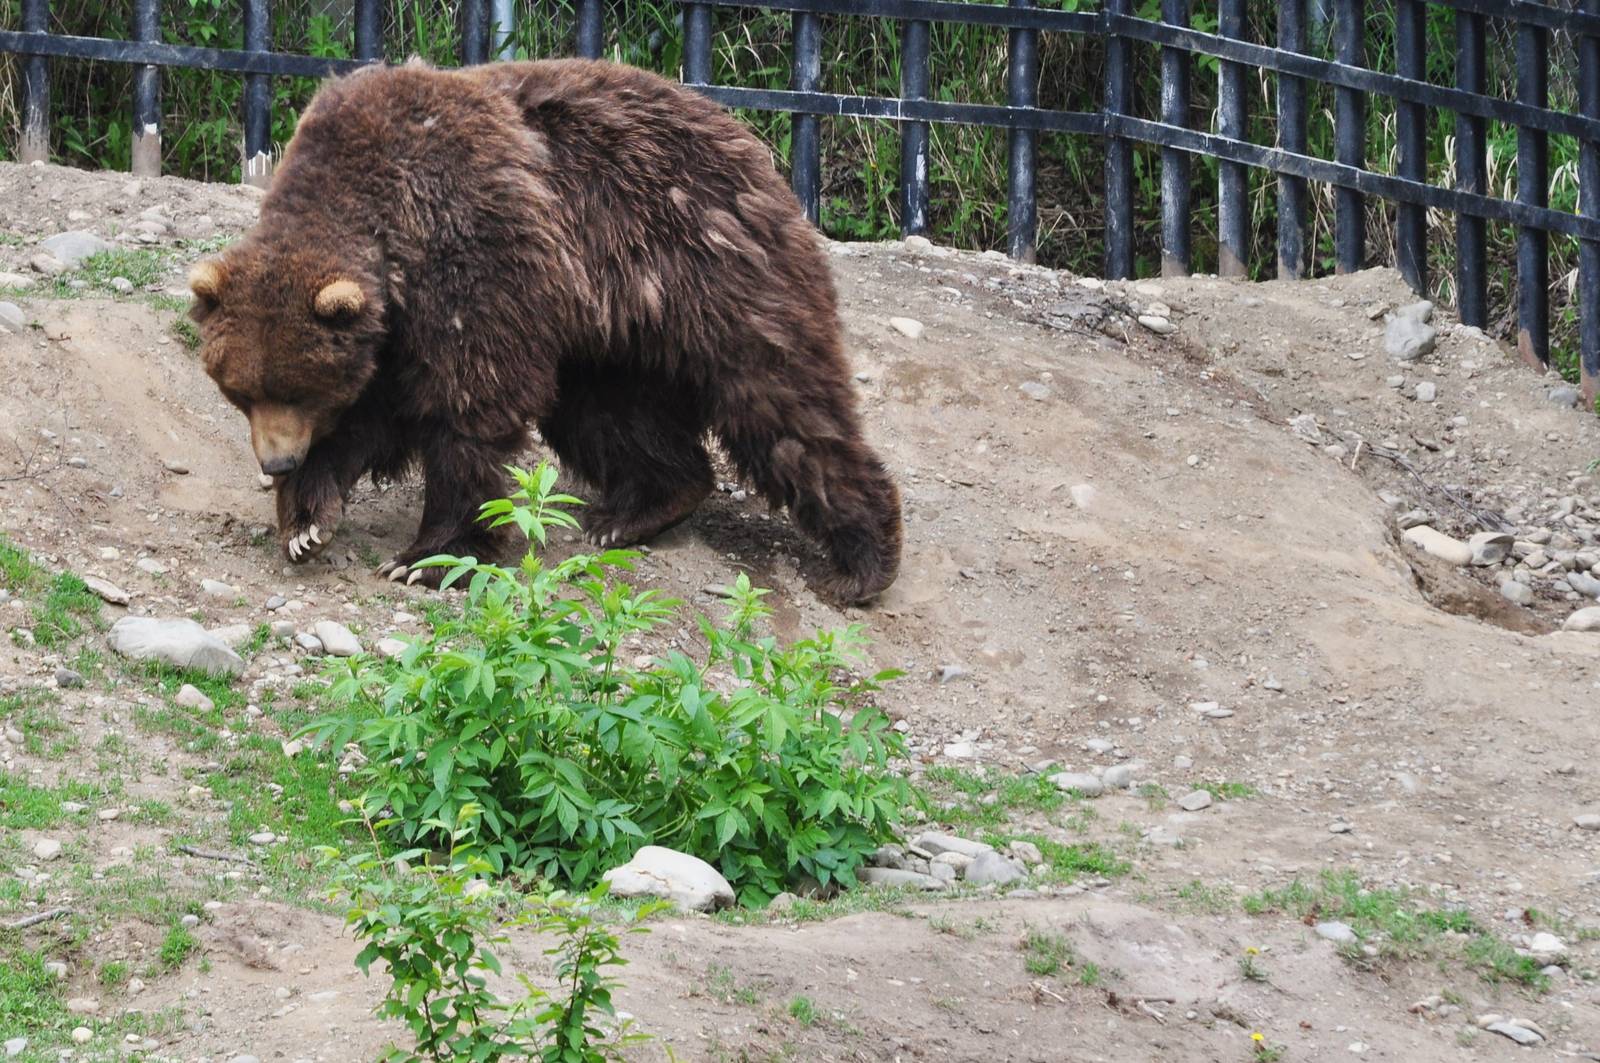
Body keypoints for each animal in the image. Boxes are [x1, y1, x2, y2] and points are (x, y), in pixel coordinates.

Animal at [187, 58, 902, 604]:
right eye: (239, 391)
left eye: (296, 389)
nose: (276, 460)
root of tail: (751, 142)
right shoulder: (392, 330)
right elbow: (367, 417)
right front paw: (306, 522)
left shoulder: (472, 253)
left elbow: (470, 405)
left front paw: (429, 557)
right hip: (609, 330)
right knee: (610, 416)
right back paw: (634, 511)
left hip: (708, 263)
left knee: (780, 402)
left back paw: (862, 563)